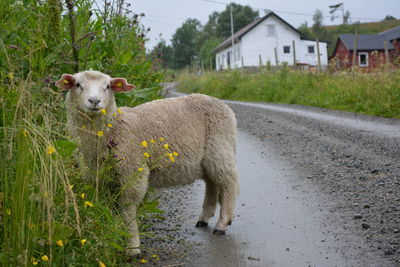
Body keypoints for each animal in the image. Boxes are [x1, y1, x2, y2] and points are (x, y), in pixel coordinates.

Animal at [55, 70, 239, 258]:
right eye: (78, 84)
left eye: (107, 86)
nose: (94, 101)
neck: (114, 127)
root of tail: (221, 103)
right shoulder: (99, 177)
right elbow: (108, 208)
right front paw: (112, 234)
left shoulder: (132, 170)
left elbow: (128, 209)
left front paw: (132, 246)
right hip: (207, 159)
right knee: (212, 183)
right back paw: (204, 218)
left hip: (220, 148)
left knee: (229, 183)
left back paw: (222, 224)